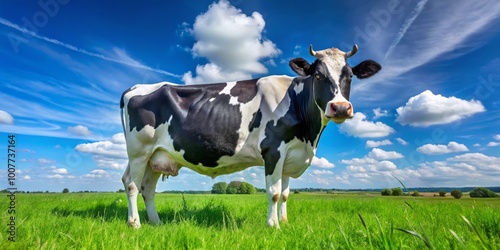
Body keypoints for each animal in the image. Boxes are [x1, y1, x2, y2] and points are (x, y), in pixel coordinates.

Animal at [120, 43, 378, 229]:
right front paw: (273, 226)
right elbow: (274, 193)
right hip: (139, 151)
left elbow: (285, 194)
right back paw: (135, 224)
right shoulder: (273, 149)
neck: (308, 135)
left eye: (350, 76)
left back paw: (155, 222)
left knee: (146, 188)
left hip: (156, 156)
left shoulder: (290, 155)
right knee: (132, 184)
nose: (340, 107)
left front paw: (285, 222)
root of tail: (134, 88)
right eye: (317, 76)